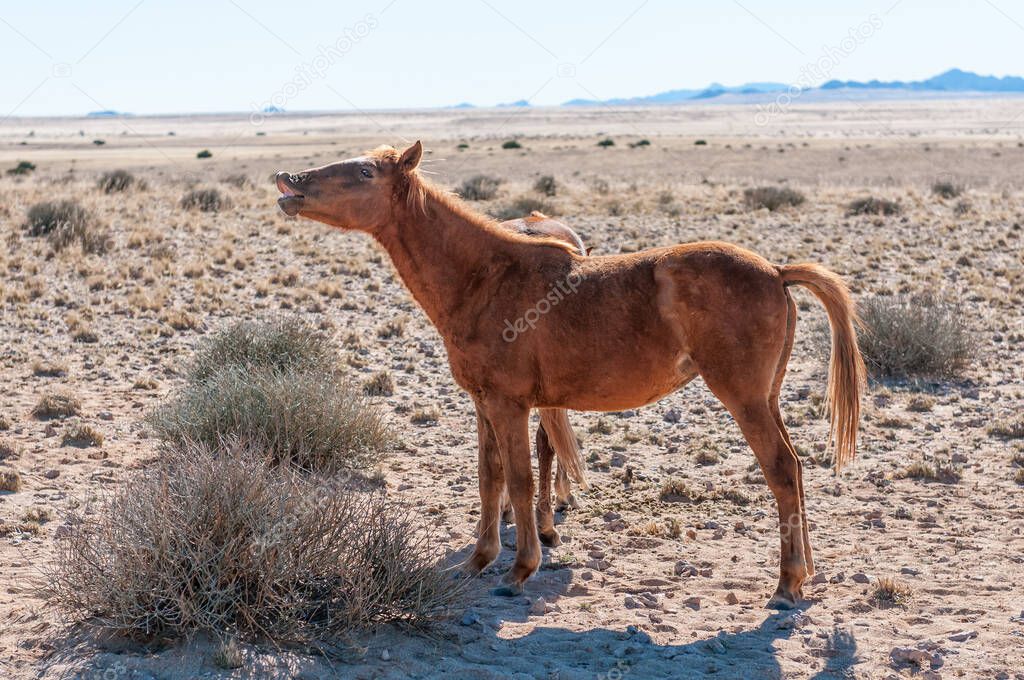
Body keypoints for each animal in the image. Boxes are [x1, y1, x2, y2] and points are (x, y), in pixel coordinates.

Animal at [278, 140, 864, 606]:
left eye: (364, 172)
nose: (290, 181)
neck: (485, 277)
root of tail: (776, 271)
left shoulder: (510, 405)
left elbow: (519, 480)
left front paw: (519, 569)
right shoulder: (483, 404)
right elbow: (489, 477)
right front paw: (478, 558)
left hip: (743, 399)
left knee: (781, 471)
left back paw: (786, 585)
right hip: (767, 399)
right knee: (796, 470)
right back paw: (805, 575)